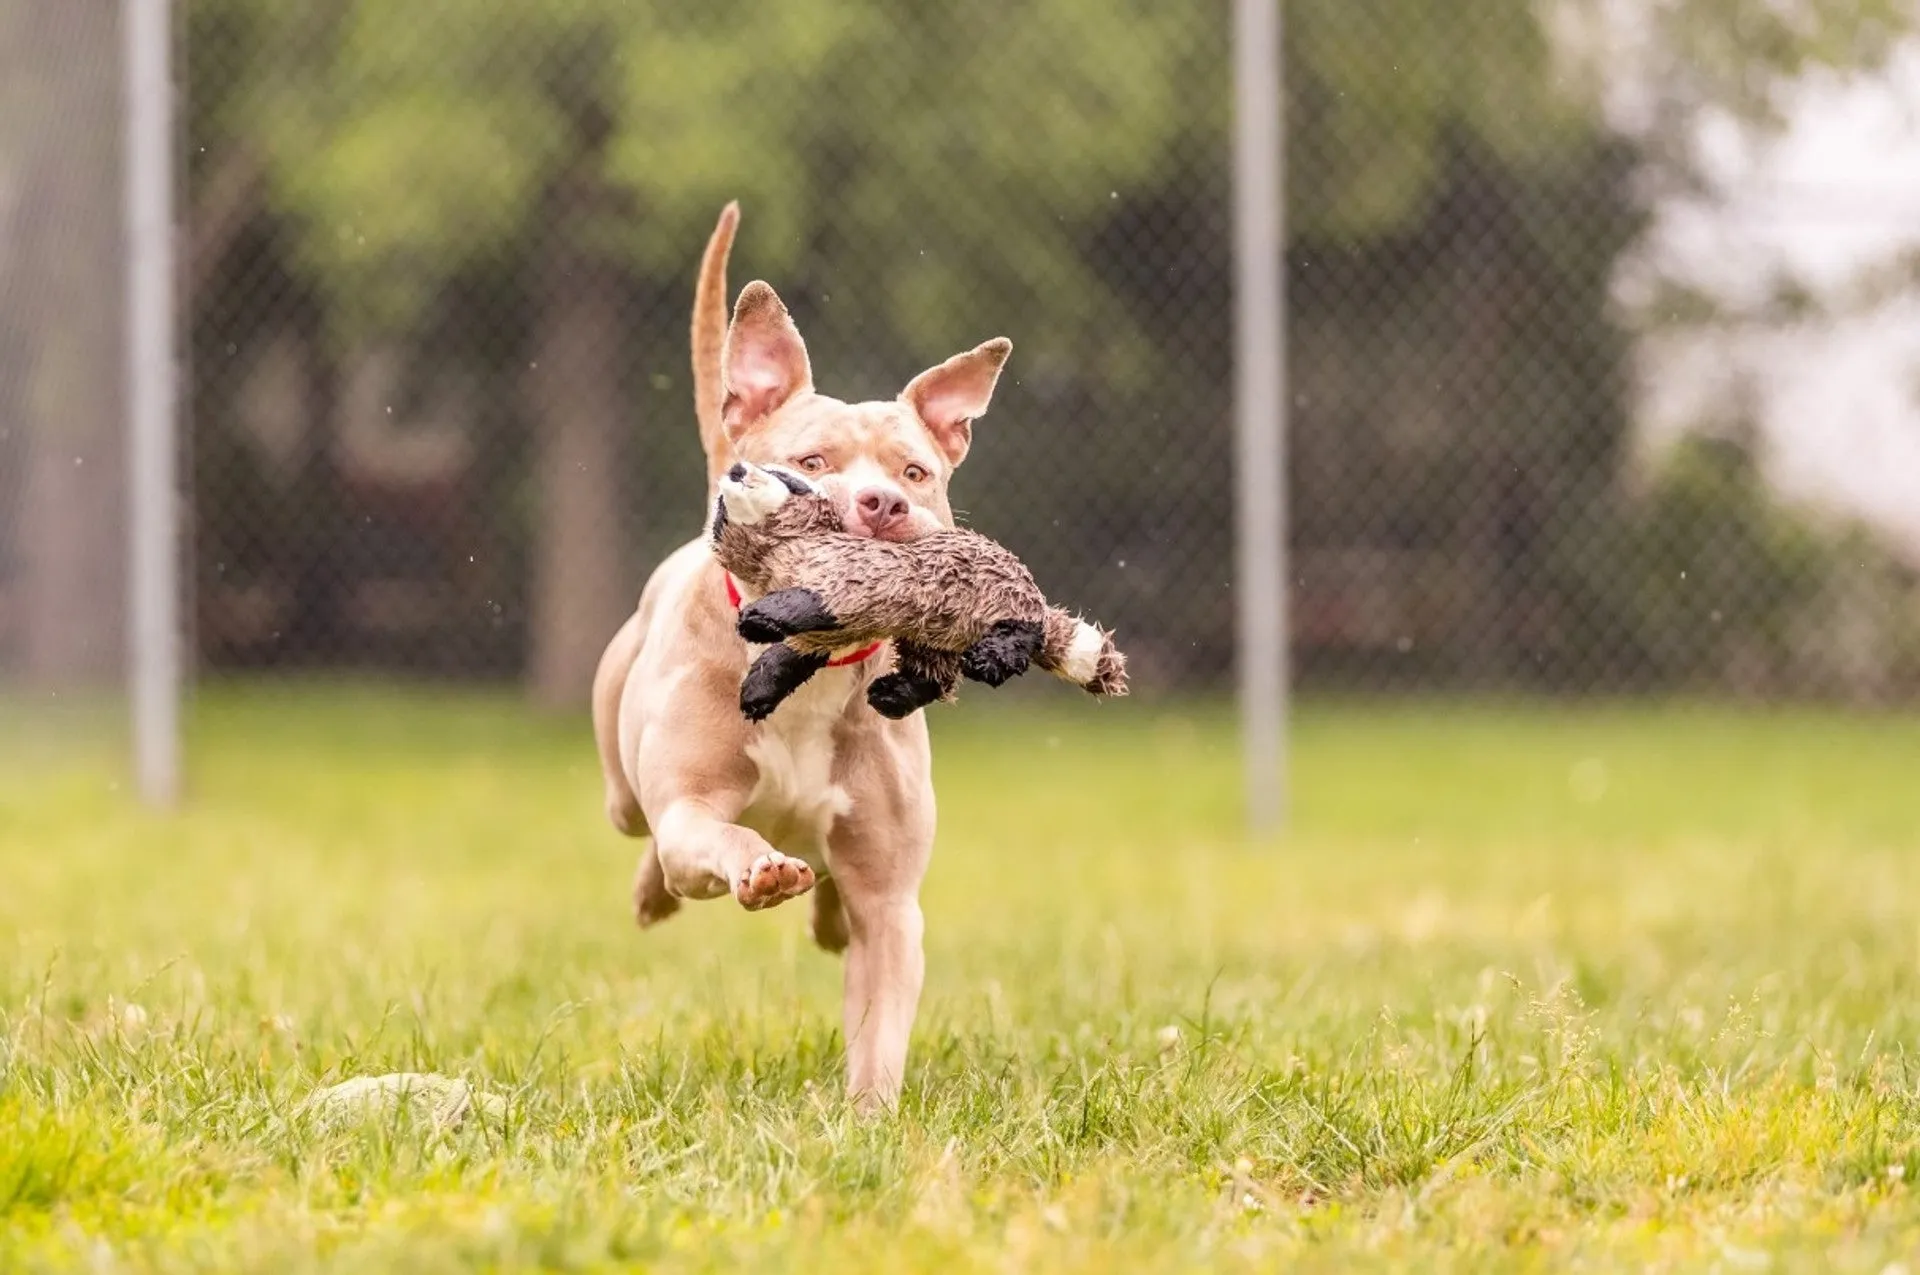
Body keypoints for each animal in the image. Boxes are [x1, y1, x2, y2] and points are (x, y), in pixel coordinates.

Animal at [587, 204, 1013, 1113]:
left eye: (916, 471)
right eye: (812, 462)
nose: (881, 503)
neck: (809, 669)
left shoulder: (891, 902)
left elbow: (881, 1015)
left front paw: (871, 1117)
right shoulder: (691, 812)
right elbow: (718, 835)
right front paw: (758, 869)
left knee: (832, 898)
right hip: (624, 789)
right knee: (647, 833)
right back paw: (658, 892)